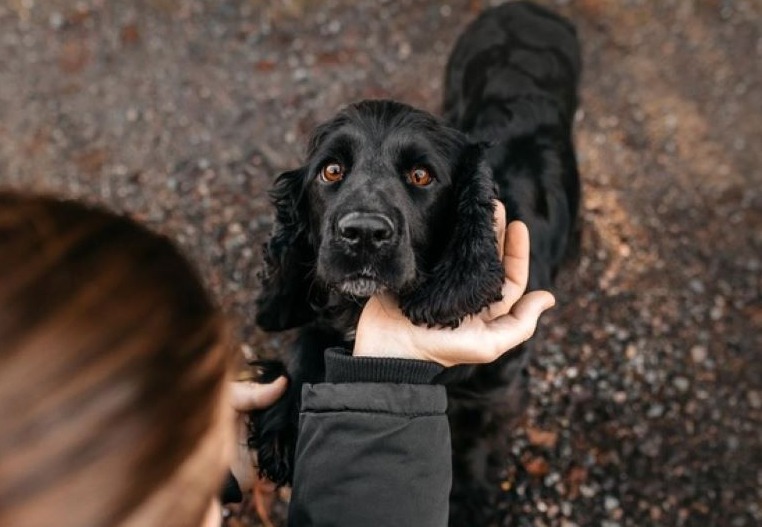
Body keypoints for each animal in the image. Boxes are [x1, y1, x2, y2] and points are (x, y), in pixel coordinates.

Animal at [252, 2, 580, 524]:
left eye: (422, 175)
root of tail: (528, 10)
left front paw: (464, 503)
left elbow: (472, 450)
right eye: (331, 170)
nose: (363, 234)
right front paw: (282, 423)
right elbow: (307, 343)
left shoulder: (494, 392)